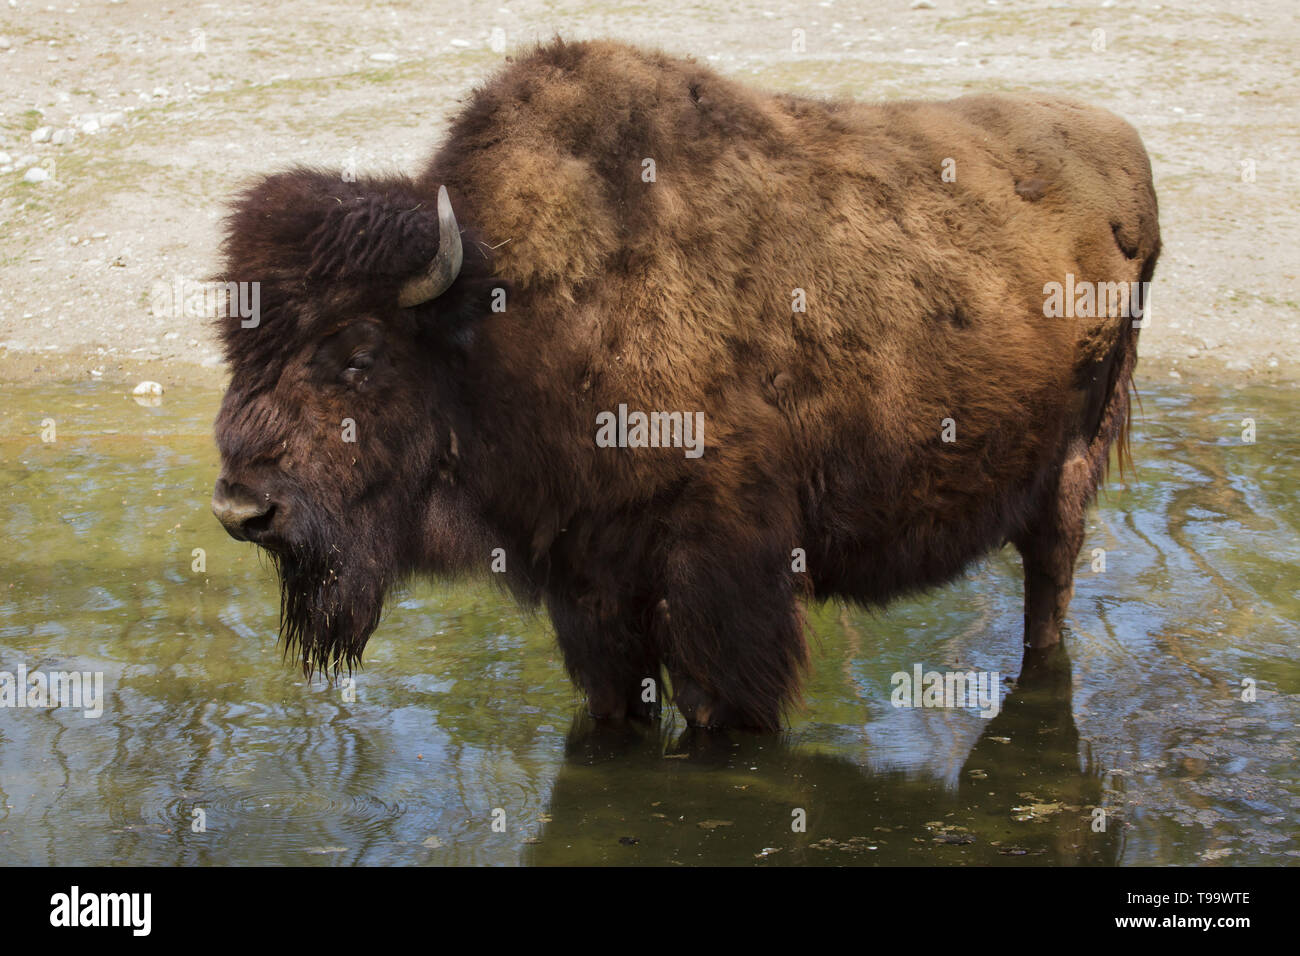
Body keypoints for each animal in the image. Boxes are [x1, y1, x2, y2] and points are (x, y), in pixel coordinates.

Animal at [210, 39, 1159, 733]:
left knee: (1050, 588)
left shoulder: (722, 581)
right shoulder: (590, 590)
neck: (503, 316)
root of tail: (1128, 152)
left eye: (358, 352)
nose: (241, 508)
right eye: (236, 347)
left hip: (1068, 472)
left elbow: (720, 707)